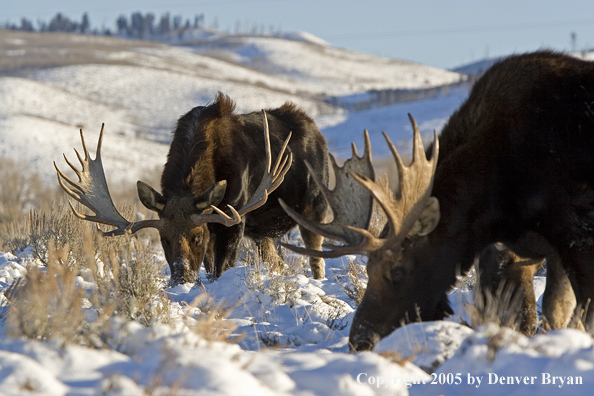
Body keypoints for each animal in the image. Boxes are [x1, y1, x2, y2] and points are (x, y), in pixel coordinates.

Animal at [55, 93, 328, 284]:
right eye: (163, 239)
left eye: (197, 236)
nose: (180, 277)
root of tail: (318, 133)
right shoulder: (217, 226)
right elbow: (210, 269)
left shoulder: (234, 217)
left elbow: (223, 268)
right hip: (264, 234)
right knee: (278, 263)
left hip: (315, 210)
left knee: (317, 260)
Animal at [280, 51, 592, 352]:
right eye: (367, 268)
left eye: (398, 269)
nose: (360, 341)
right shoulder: (521, 253)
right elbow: (538, 313)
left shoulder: (576, 234)